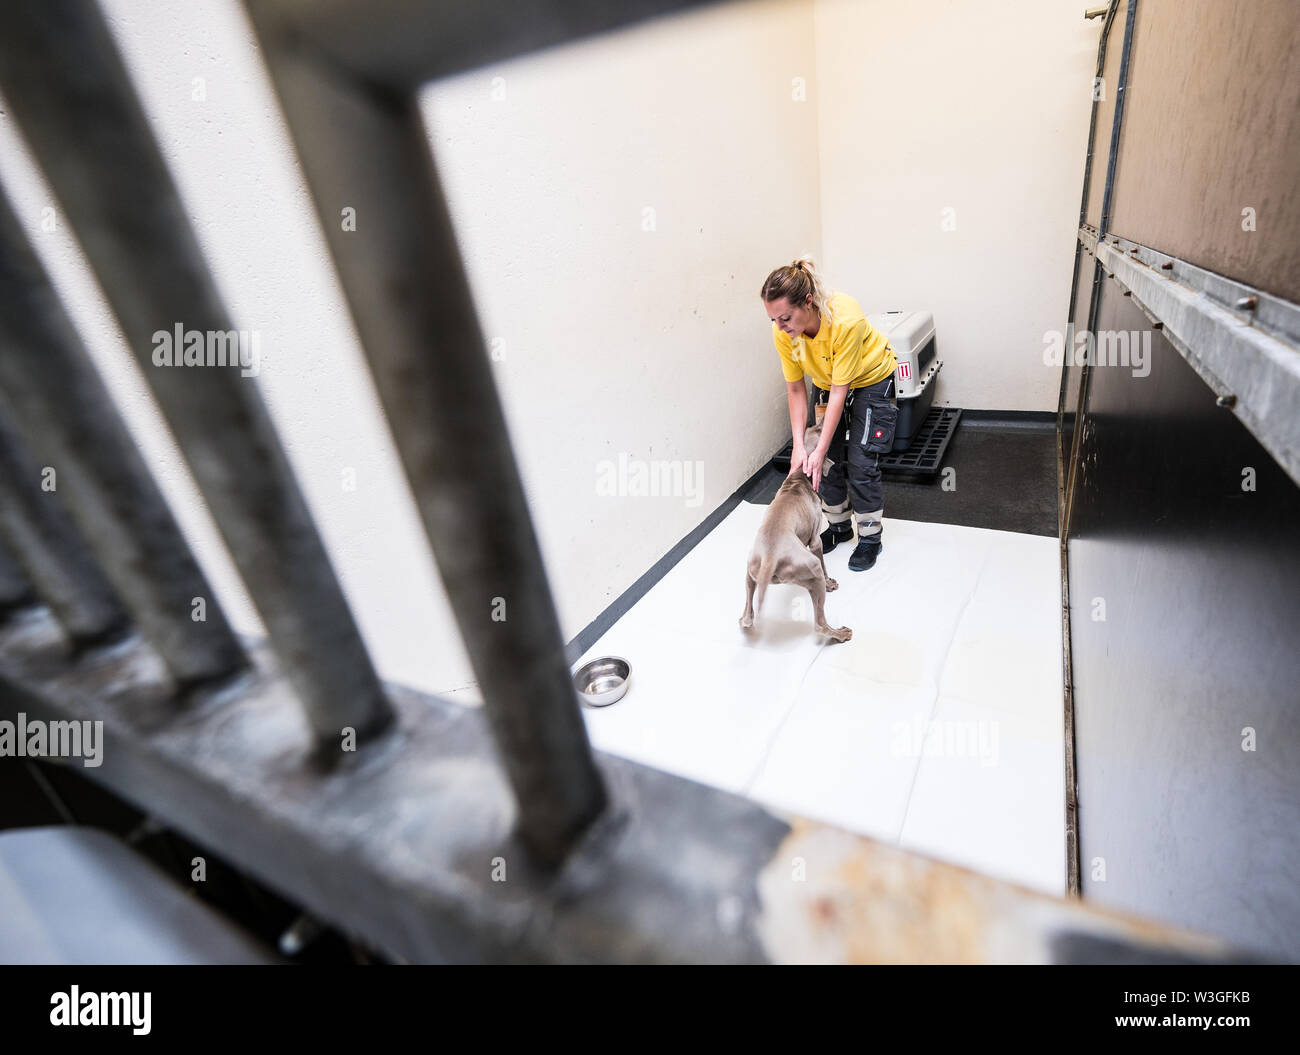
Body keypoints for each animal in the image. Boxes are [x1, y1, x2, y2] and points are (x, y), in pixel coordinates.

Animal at [739, 422, 852, 642]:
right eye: (818, 430)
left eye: (812, 427)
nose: (823, 421)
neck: (799, 478)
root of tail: (770, 558)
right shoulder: (816, 541)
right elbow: (824, 563)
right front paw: (830, 583)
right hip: (811, 567)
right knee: (819, 624)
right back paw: (840, 633)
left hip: (750, 570)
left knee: (746, 618)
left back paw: (746, 622)